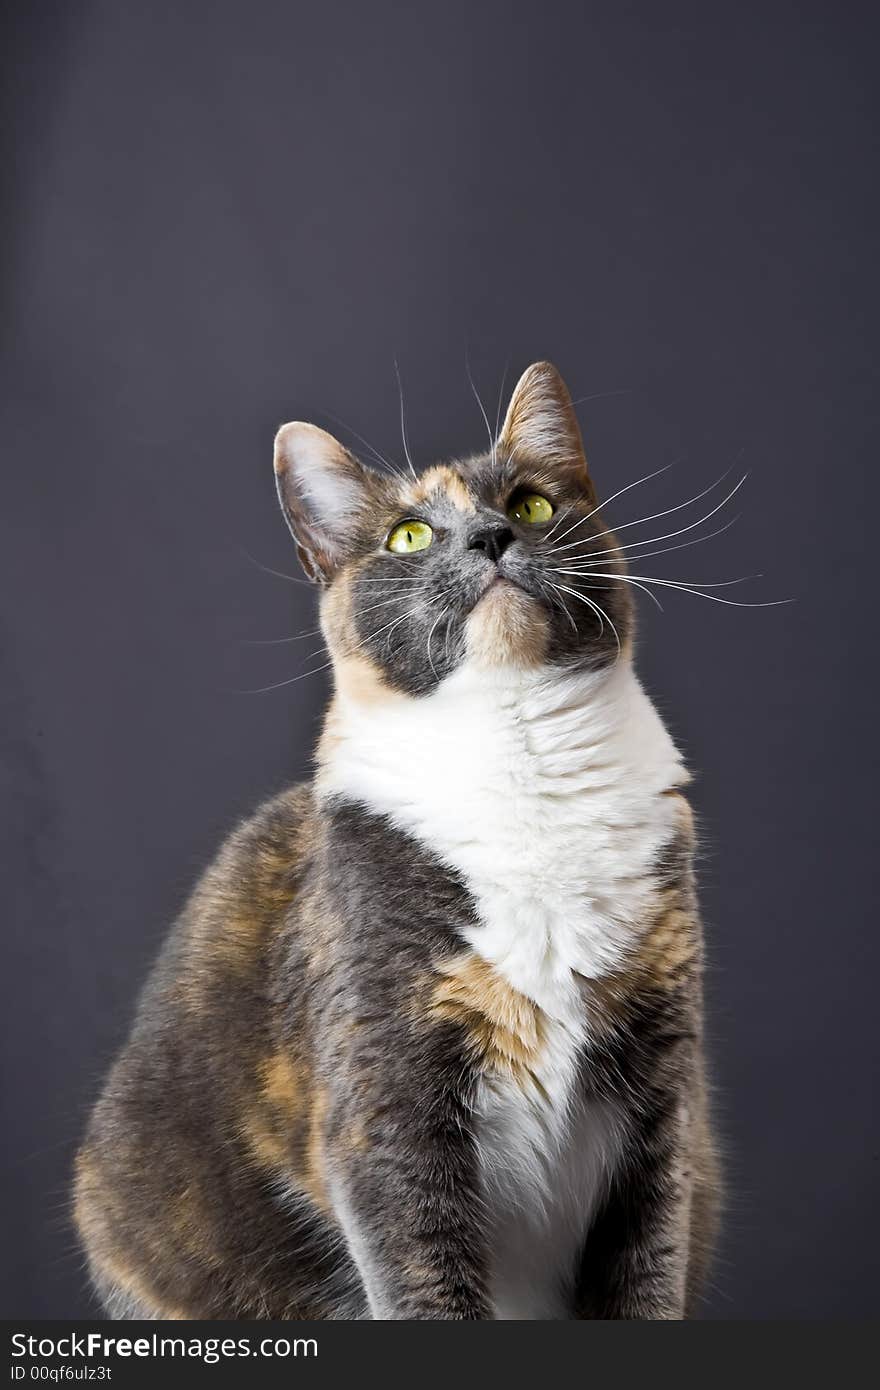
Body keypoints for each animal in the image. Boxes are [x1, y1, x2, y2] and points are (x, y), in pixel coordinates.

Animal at [75, 358, 717, 1312]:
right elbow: (423, 1275)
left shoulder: (661, 1111)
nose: (489, 537)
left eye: (531, 504)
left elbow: (648, 1272)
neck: (521, 762)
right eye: (410, 536)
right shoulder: (385, 1104)